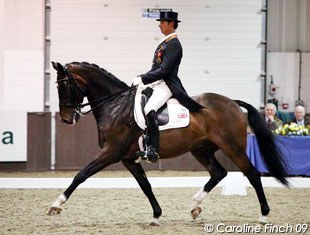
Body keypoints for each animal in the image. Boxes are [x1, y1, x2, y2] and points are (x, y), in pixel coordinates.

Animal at [47, 61, 288, 225]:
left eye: (63, 86)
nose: (66, 119)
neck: (114, 106)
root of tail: (233, 103)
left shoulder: (111, 153)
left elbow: (81, 175)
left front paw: (56, 205)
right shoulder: (128, 159)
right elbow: (145, 185)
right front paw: (156, 216)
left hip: (233, 147)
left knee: (252, 174)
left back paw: (263, 215)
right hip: (201, 149)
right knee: (218, 173)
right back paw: (194, 206)